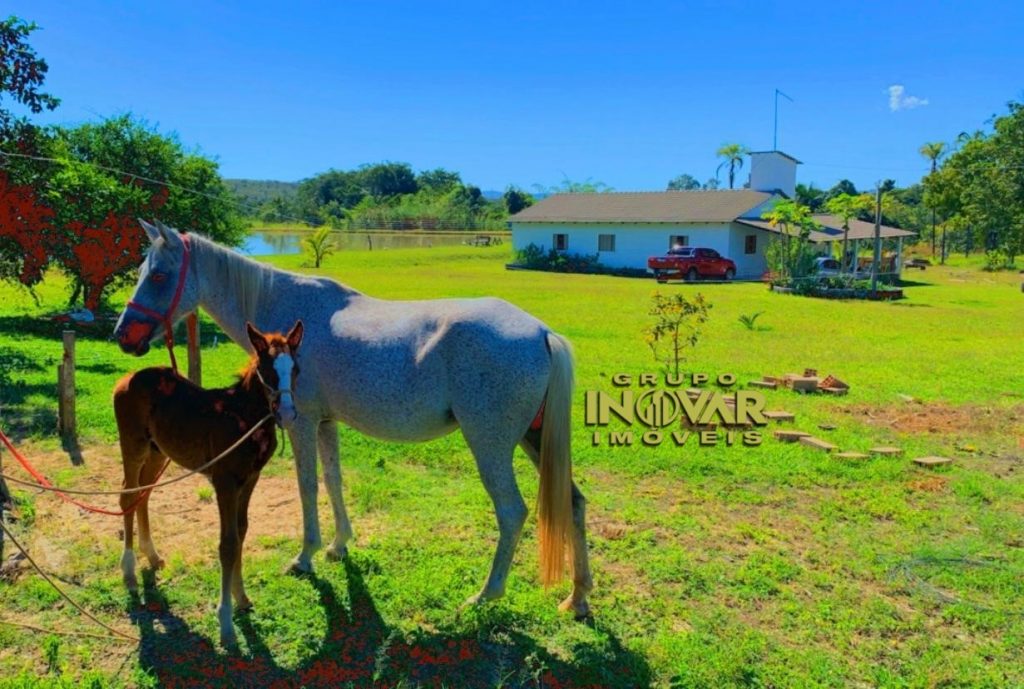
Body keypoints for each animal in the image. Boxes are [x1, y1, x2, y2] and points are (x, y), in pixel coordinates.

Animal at [112, 222, 593, 618]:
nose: (123, 335)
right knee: (573, 502)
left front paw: (306, 555)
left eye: (158, 276)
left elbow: (307, 486)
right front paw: (339, 544)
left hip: (490, 445)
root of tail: (541, 332)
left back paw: (485, 594)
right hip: (534, 440)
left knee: (511, 513)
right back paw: (578, 597)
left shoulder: (302, 422)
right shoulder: (326, 424)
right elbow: (333, 480)